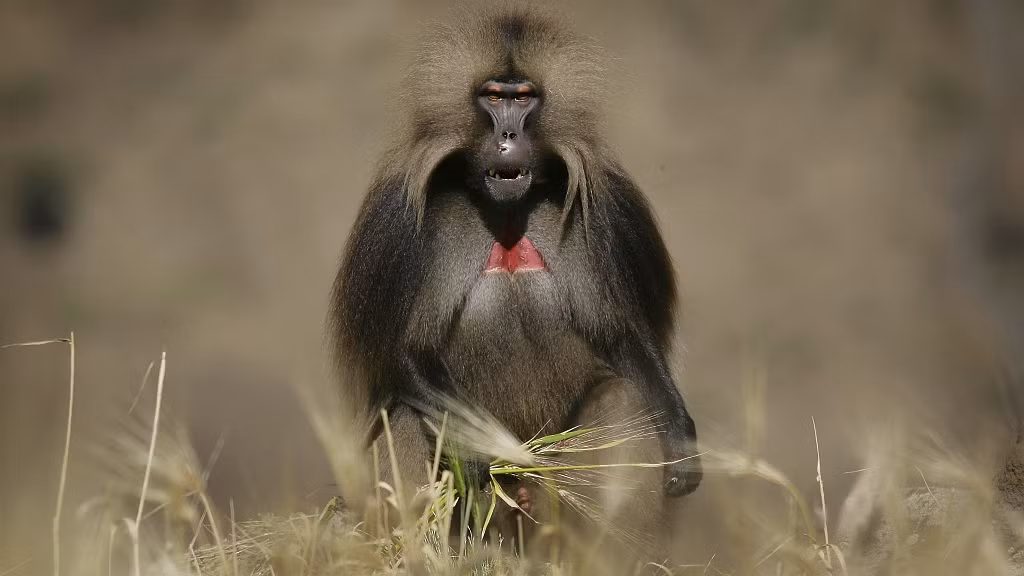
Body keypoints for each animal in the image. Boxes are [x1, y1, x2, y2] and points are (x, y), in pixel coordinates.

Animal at [329, 7, 701, 562]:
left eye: (523, 97)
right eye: (492, 96)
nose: (507, 137)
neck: (505, 213)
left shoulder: (611, 211)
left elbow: (623, 337)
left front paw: (681, 441)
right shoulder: (395, 224)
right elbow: (403, 354)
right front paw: (483, 457)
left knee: (622, 401)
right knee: (410, 417)